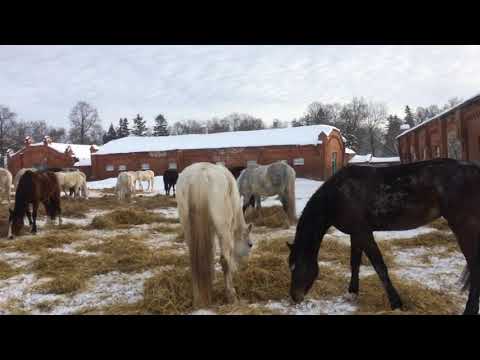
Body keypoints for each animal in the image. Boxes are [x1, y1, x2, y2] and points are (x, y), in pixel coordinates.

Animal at [174, 162, 253, 308]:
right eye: (250, 245)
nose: (242, 266)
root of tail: (199, 177)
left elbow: (210, 249)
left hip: (187, 226)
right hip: (223, 229)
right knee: (224, 260)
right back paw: (231, 295)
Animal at [286, 160, 480, 316]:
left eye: (296, 266)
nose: (295, 297)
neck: (337, 195)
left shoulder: (364, 233)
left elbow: (379, 267)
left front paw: (396, 303)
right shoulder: (356, 234)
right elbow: (354, 262)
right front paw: (352, 292)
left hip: (464, 229)